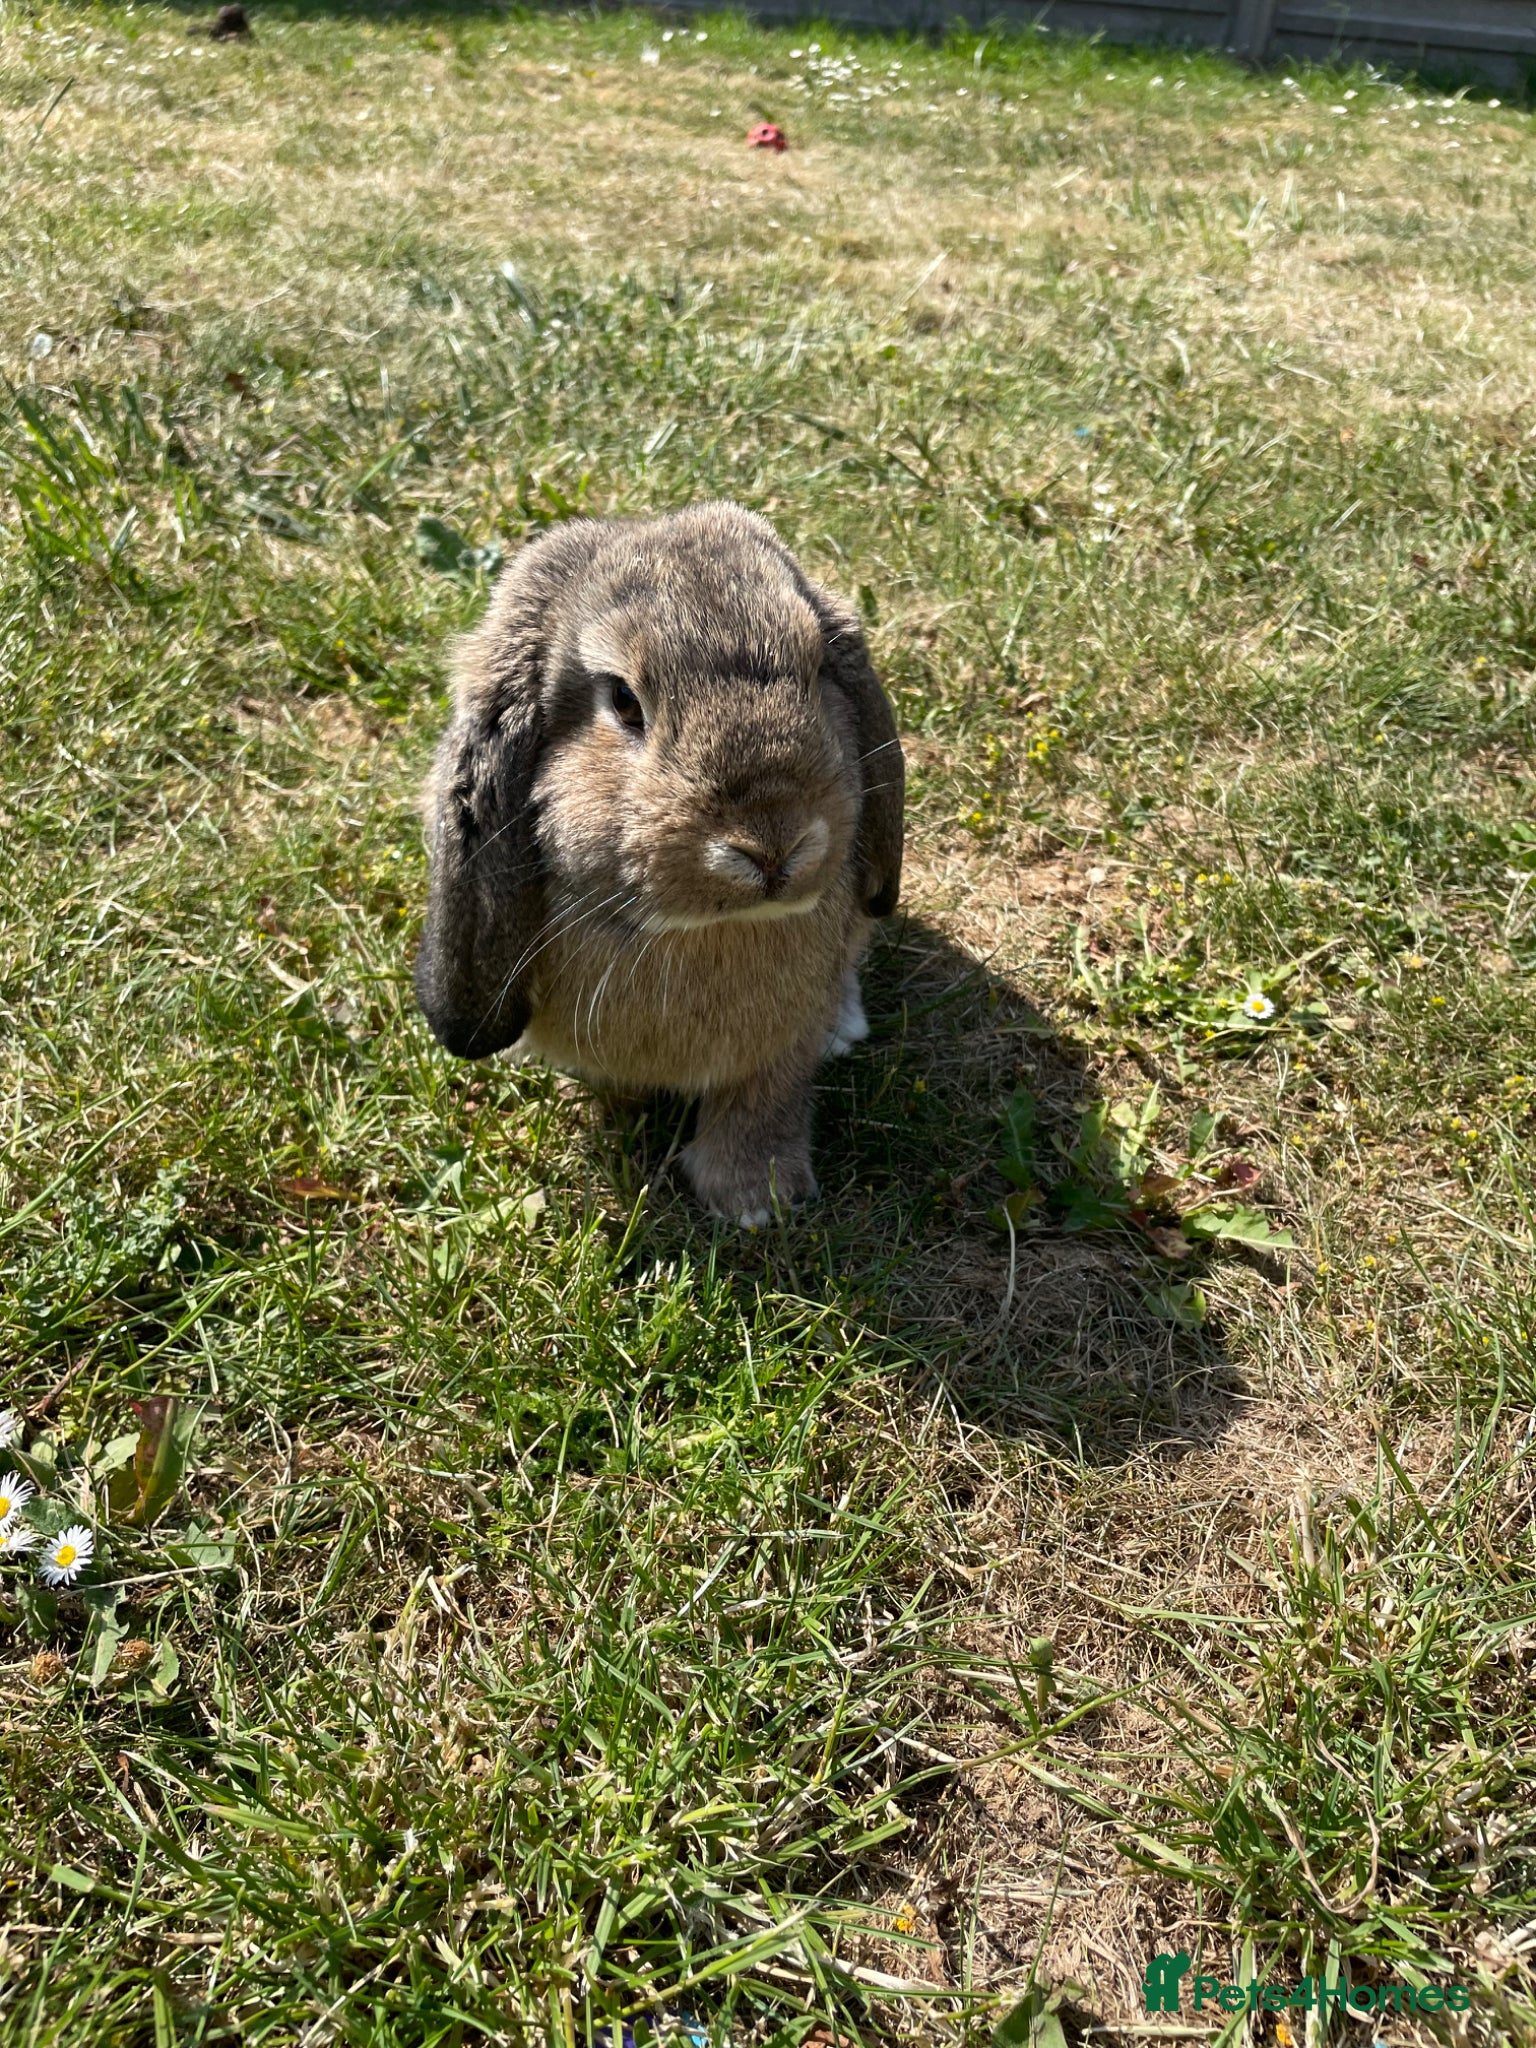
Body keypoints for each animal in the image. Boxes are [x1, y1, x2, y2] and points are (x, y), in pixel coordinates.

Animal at [414, 501, 904, 1225]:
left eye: (819, 670)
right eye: (622, 700)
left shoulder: (780, 1049)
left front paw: (755, 1201)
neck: (697, 931)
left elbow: (767, 1098)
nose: (773, 846)